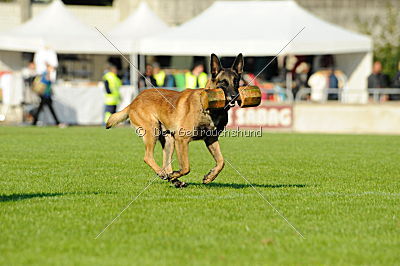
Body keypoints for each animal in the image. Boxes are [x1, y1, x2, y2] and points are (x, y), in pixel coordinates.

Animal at [106, 53, 244, 187]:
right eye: (223, 82)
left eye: (236, 81)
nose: (235, 96)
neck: (209, 107)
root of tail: (134, 101)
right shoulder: (182, 140)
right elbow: (186, 167)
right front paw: (175, 174)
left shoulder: (211, 139)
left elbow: (221, 162)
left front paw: (210, 176)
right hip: (153, 131)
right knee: (148, 157)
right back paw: (165, 175)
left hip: (169, 140)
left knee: (165, 163)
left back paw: (174, 180)